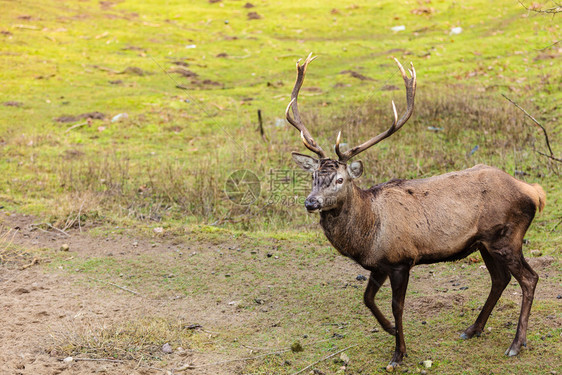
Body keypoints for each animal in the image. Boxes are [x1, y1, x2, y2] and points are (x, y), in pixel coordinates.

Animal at [284, 53, 544, 370]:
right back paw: (473, 329)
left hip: (507, 237)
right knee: (500, 279)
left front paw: (398, 353)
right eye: (313, 176)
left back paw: (516, 344)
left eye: (340, 179)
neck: (369, 235)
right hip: (485, 243)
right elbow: (367, 299)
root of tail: (533, 191)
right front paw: (389, 330)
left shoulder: (401, 260)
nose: (311, 202)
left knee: (529, 278)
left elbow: (398, 306)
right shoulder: (378, 265)